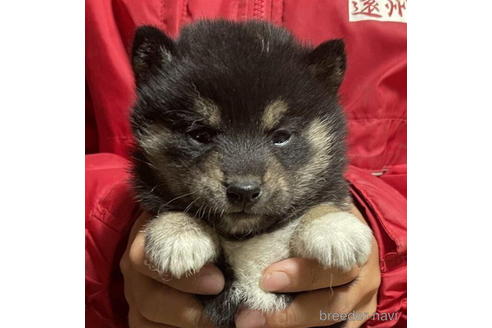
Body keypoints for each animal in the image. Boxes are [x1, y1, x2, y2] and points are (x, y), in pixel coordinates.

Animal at [129, 20, 370, 328]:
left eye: (281, 136)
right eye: (200, 134)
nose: (243, 191)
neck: (247, 238)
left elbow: (318, 205)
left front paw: (332, 227)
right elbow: (173, 206)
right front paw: (179, 232)